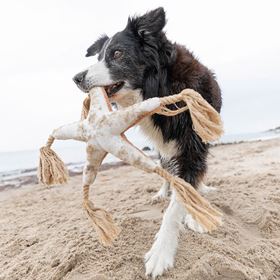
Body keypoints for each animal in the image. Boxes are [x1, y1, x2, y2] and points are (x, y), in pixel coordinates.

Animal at [73, 7, 222, 278]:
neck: (161, 88)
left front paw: (162, 251)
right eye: (98, 56)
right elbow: (174, 183)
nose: (77, 78)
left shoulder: (193, 147)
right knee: (165, 167)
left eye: (117, 53)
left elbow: (179, 201)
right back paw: (162, 192)